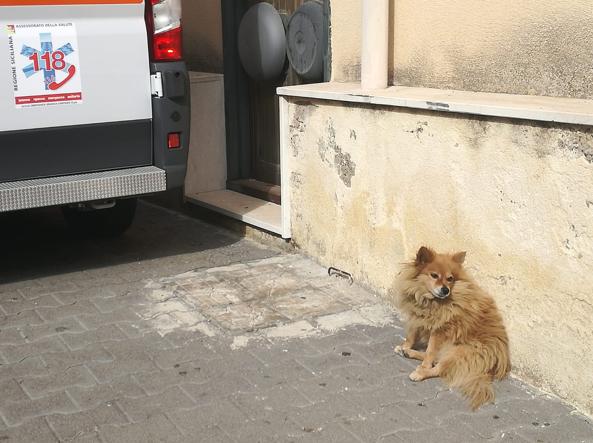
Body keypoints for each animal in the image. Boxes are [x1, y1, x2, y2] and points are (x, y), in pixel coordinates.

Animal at [394, 246, 508, 410]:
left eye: (450, 279)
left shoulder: (440, 330)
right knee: (438, 360)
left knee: (440, 368)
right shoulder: (417, 318)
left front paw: (424, 367)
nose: (445, 290)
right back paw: (407, 352)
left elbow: (430, 352)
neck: (431, 301)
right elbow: (412, 336)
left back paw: (420, 372)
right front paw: (406, 346)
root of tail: (491, 367)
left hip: (460, 351)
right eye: (434, 275)